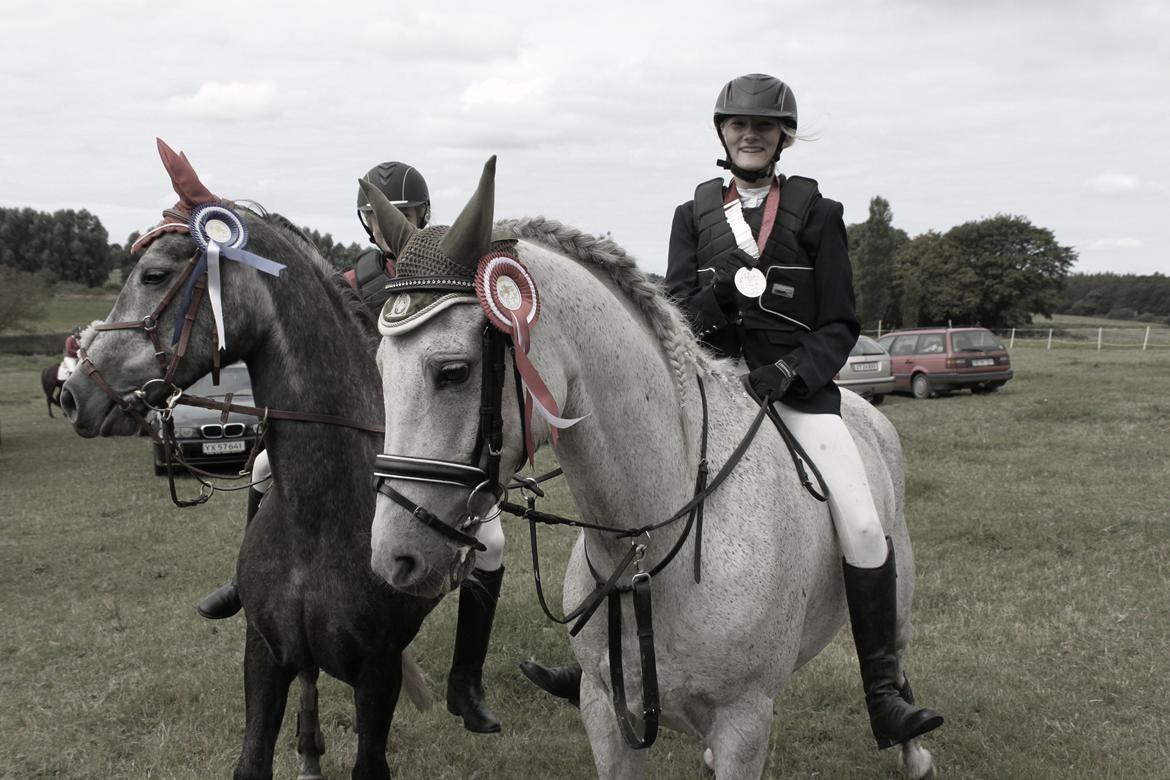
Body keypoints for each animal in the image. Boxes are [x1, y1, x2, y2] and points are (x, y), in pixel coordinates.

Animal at [57, 149, 439, 776]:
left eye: (154, 275)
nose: (73, 395)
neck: (319, 523)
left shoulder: (378, 670)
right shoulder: (263, 654)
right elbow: (252, 758)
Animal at [365, 160, 940, 780]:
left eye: (454, 371)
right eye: (380, 367)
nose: (393, 559)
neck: (649, 540)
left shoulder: (745, 720)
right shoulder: (604, 710)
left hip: (894, 589)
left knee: (893, 647)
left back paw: (909, 735)